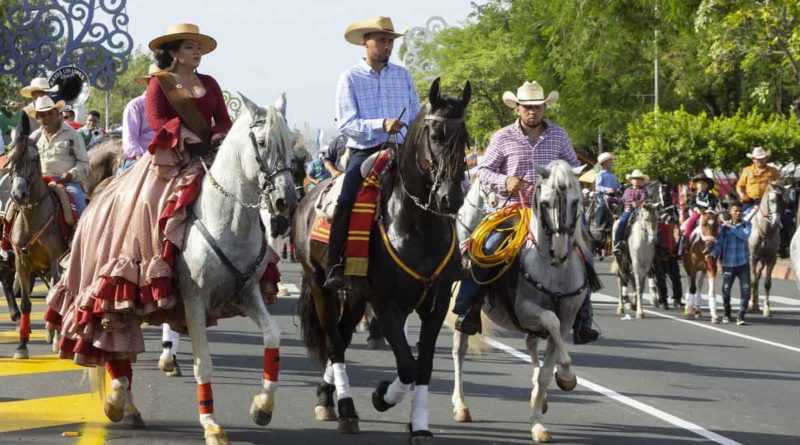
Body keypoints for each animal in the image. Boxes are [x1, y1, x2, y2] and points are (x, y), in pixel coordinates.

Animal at [100, 94, 296, 444]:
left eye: (289, 144)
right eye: (262, 142)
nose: (285, 200)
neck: (228, 220)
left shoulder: (247, 293)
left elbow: (273, 335)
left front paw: (262, 407)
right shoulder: (194, 300)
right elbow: (203, 363)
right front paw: (211, 425)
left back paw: (127, 405)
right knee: (112, 346)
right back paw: (117, 401)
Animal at [294, 78, 468, 442]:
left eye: (466, 138)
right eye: (435, 136)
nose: (451, 198)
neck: (415, 225)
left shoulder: (436, 305)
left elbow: (423, 366)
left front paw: (419, 426)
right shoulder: (387, 304)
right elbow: (407, 365)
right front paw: (381, 396)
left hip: (355, 295)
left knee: (343, 335)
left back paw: (327, 398)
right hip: (321, 286)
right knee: (334, 342)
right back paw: (346, 410)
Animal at [450, 159, 588, 440]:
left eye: (576, 201)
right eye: (544, 203)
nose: (559, 249)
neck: (554, 269)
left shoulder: (567, 319)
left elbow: (546, 371)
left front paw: (539, 420)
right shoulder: (525, 309)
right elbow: (551, 321)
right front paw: (567, 373)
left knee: (531, 344)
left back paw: (539, 398)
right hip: (464, 312)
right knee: (459, 351)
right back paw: (460, 406)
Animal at [748, 182, 784, 318]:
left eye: (783, 200)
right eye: (772, 200)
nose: (776, 221)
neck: (765, 230)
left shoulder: (771, 259)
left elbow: (767, 283)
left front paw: (767, 308)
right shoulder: (752, 257)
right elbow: (752, 281)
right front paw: (750, 304)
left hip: (762, 261)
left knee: (758, 276)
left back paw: (756, 305)